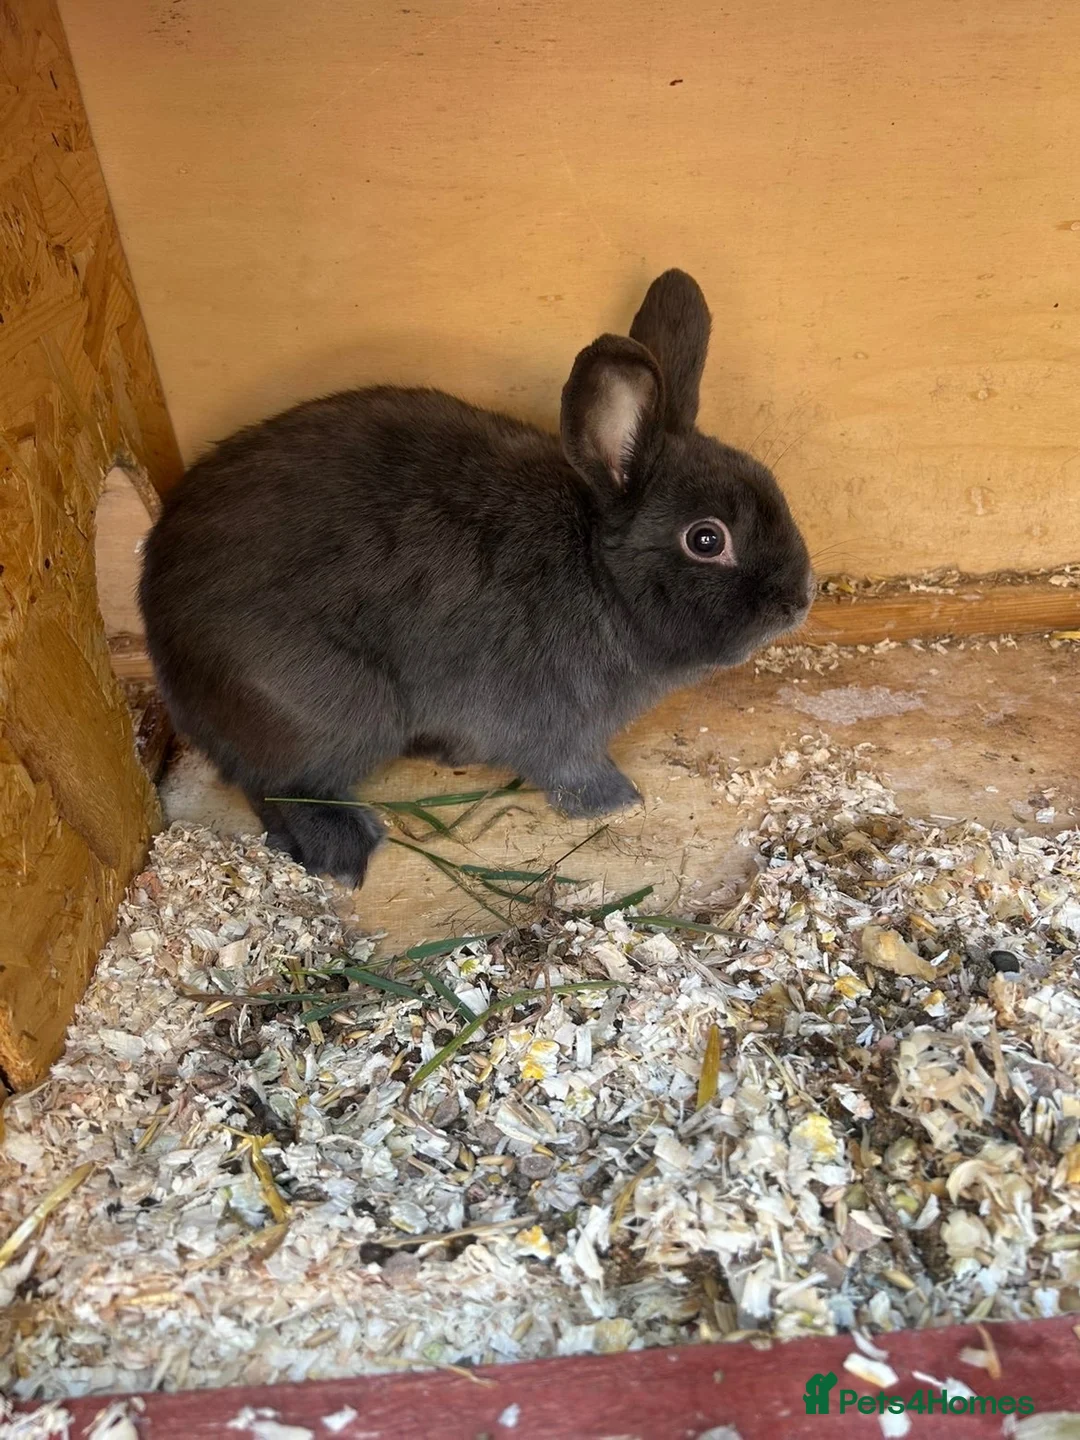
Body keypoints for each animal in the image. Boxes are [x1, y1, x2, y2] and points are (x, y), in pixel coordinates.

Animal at [139, 270, 814, 887]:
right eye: (707, 540)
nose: (800, 600)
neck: (598, 568)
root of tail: (167, 659)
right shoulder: (553, 721)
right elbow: (569, 768)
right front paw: (617, 800)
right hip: (332, 709)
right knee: (277, 786)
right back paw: (345, 850)